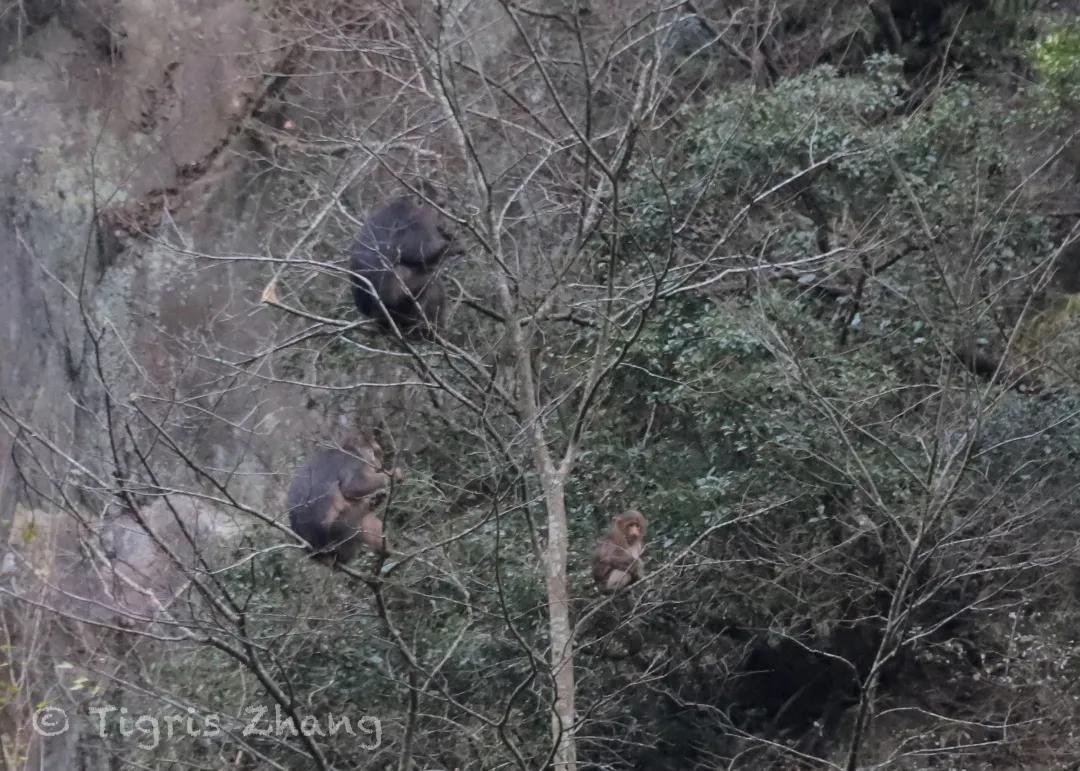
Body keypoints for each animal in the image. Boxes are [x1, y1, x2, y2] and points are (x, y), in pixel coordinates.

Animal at [349, 187, 460, 334]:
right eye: (440, 206)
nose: (445, 222)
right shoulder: (414, 223)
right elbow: (416, 252)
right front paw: (452, 244)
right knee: (420, 278)